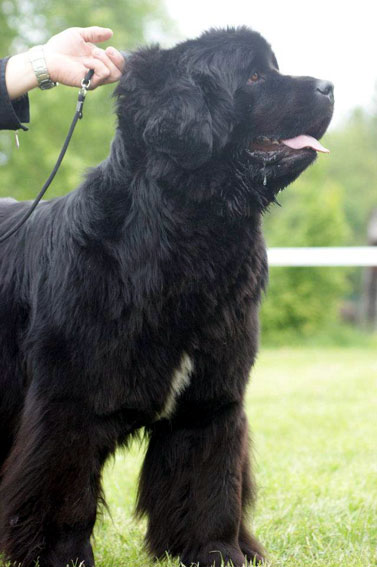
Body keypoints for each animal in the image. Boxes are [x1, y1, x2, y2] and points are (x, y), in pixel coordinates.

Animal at [0, 25, 332, 567]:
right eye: (254, 77)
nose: (328, 86)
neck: (188, 233)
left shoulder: (211, 399)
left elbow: (209, 483)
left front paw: (216, 552)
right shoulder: (67, 402)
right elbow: (64, 491)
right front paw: (62, 557)